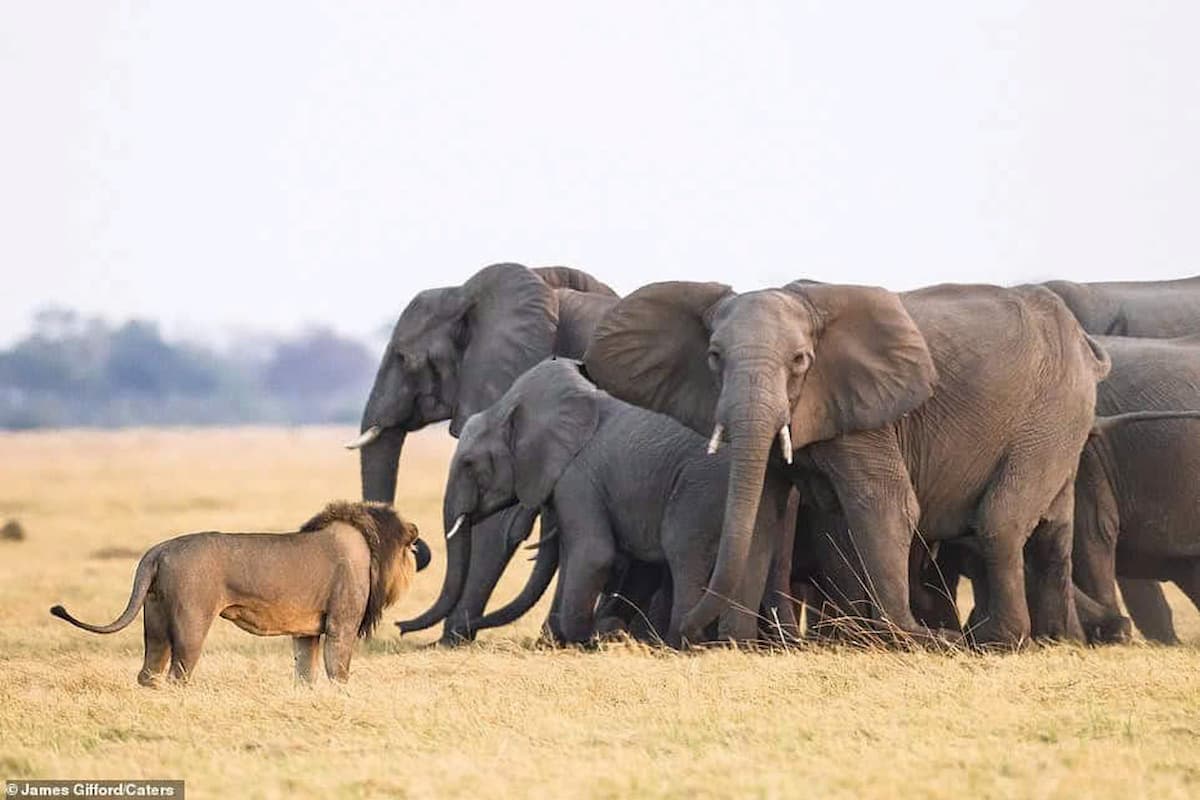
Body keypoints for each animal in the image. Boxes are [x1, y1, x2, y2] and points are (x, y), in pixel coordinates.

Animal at [49, 503, 429, 686]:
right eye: (410, 548)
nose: (418, 545)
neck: (370, 547)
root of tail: (158, 550)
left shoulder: (306, 632)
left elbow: (305, 672)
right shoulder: (341, 623)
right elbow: (339, 670)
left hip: (154, 619)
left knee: (149, 672)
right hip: (192, 620)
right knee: (179, 672)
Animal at [400, 359, 796, 647]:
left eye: (469, 464)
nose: (401, 627)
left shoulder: (578, 478)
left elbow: (593, 554)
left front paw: (590, 637)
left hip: (700, 487)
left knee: (684, 553)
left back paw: (679, 642)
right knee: (763, 559)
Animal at [585, 281, 1108, 642]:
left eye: (800, 361)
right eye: (714, 356)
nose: (685, 634)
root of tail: (1085, 346)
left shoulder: (867, 417)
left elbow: (886, 505)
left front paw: (904, 640)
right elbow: (761, 515)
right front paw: (736, 644)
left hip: (1052, 411)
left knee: (1001, 522)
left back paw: (999, 642)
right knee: (1053, 532)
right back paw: (1057, 641)